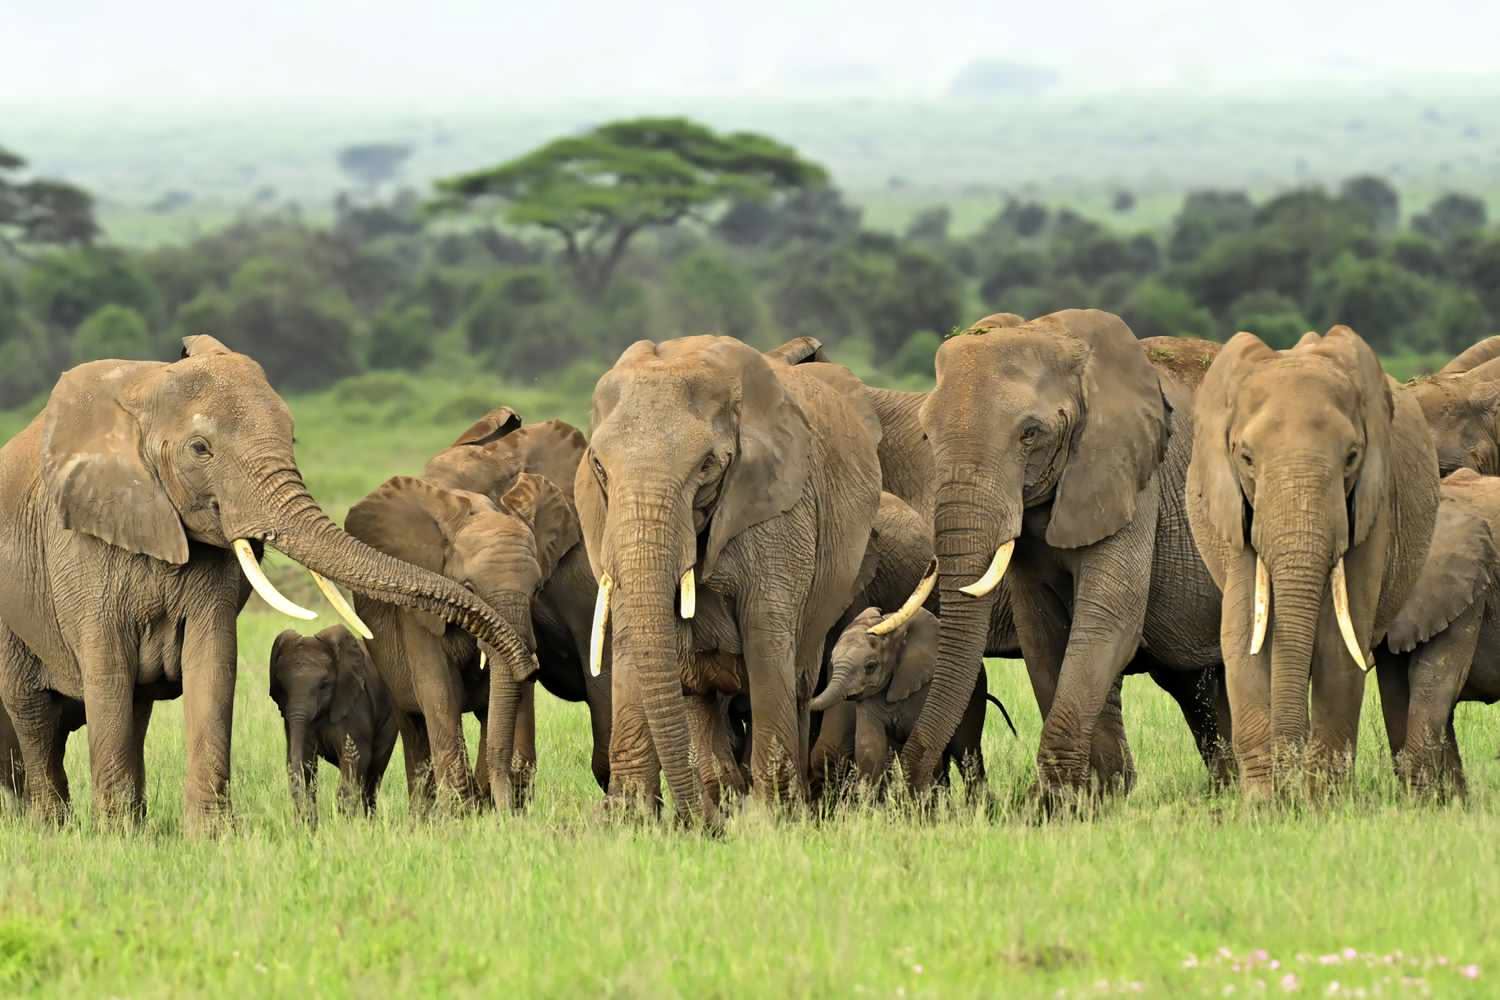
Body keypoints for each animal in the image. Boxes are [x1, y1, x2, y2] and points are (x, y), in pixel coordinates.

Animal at [269, 625, 398, 820]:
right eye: (282, 686)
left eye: (324, 685)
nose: (302, 819)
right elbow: (306, 761)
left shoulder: (355, 705)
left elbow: (355, 759)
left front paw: (344, 824)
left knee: (373, 778)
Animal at [577, 335, 885, 825]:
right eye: (600, 467)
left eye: (706, 466)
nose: (698, 824)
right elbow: (628, 636)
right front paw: (625, 821)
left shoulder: (781, 510)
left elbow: (766, 636)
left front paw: (770, 820)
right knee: (698, 689)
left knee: (797, 678)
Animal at [891, 311, 1232, 804]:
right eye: (925, 435)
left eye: (1029, 434)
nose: (913, 796)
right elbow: (1043, 630)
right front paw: (1096, 797)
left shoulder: (1129, 474)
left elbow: (1108, 617)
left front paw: (1049, 803)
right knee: (1200, 686)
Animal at [1187, 326, 1439, 797]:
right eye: (1245, 457)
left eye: (1352, 456)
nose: (1289, 790)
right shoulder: (1235, 511)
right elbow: (1244, 632)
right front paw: (1263, 804)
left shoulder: (1372, 508)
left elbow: (1340, 641)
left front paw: (1322, 802)